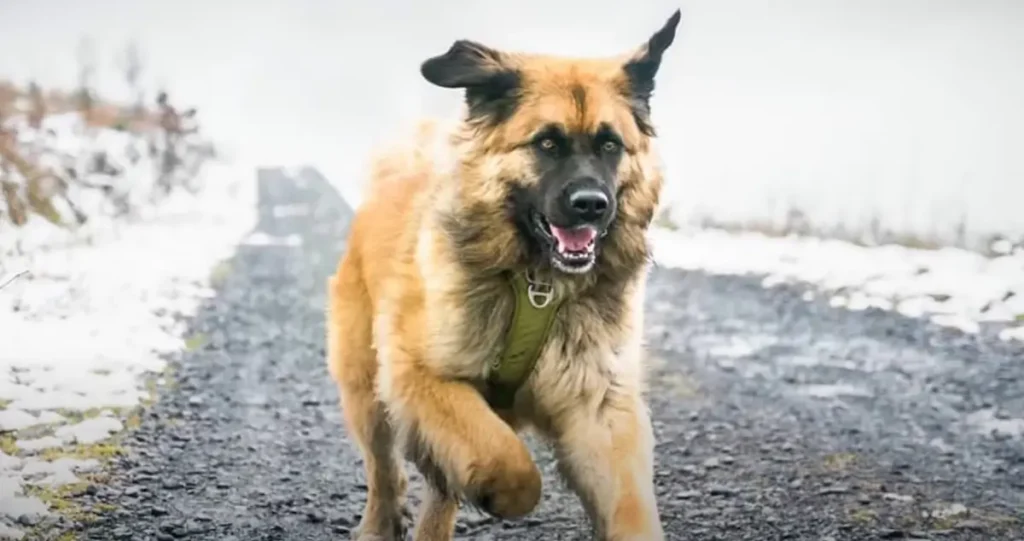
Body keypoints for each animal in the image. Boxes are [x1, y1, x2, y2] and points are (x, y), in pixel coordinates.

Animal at [327, 9, 679, 541]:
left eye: (610, 145)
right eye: (547, 142)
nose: (592, 206)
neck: (538, 285)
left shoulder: (599, 408)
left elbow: (629, 510)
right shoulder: (421, 375)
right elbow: (508, 465)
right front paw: (499, 493)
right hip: (366, 390)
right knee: (384, 468)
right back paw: (381, 521)